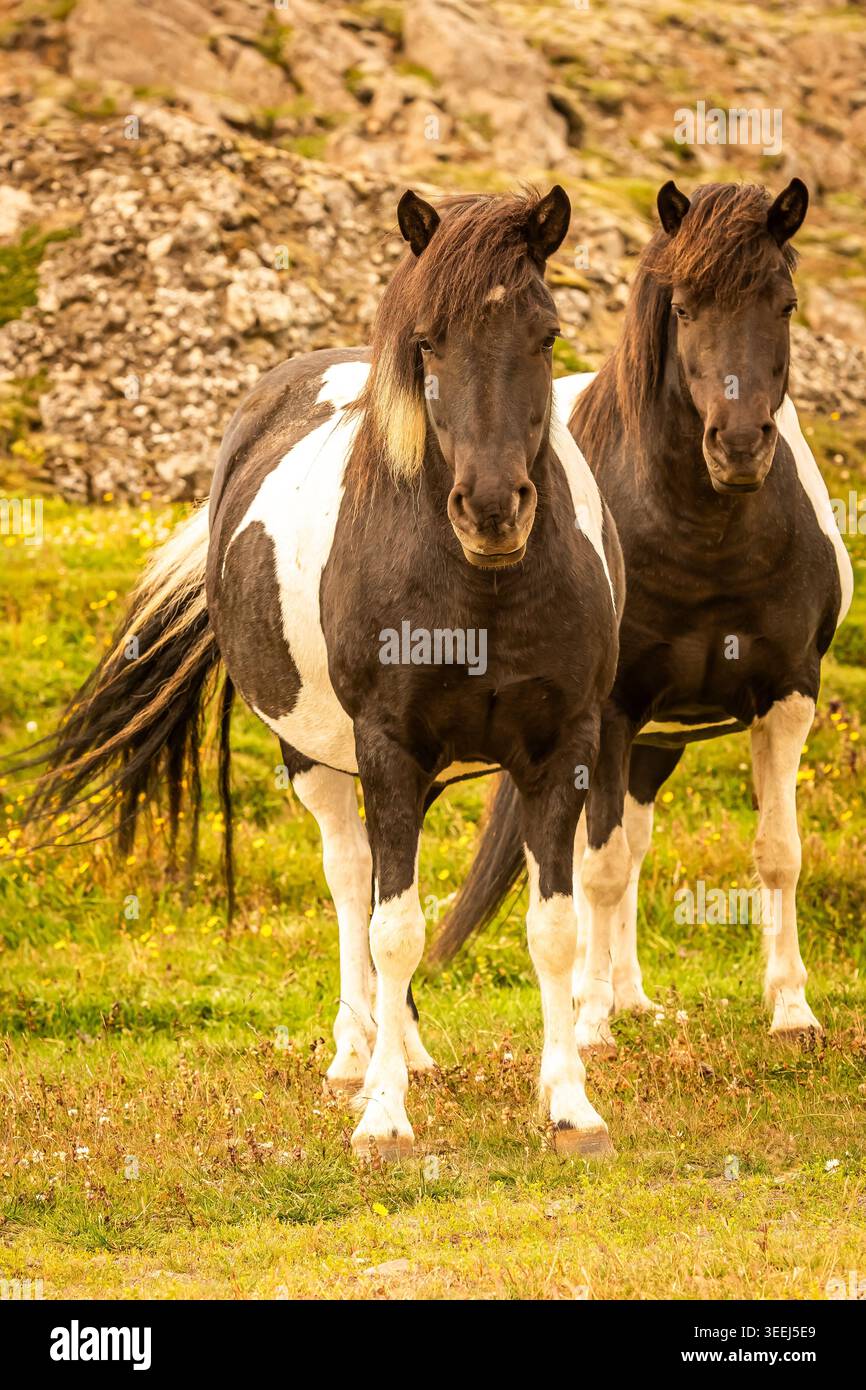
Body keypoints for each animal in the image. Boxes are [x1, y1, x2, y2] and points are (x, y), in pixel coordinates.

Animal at [17, 186, 624, 1160]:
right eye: (428, 342)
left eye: (548, 334)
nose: (493, 509)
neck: (480, 585)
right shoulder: (386, 748)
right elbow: (392, 930)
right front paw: (383, 1118)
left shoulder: (561, 746)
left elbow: (552, 928)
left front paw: (569, 1104)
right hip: (322, 759)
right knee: (352, 883)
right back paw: (358, 1055)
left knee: (381, 889)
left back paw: (403, 1049)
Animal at [434, 179, 852, 1057]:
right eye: (685, 309)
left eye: (786, 304)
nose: (739, 445)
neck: (705, 534)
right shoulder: (614, 711)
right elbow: (597, 868)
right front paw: (589, 1027)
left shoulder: (788, 695)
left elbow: (778, 853)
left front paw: (793, 1010)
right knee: (595, 853)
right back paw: (594, 1001)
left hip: (658, 744)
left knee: (632, 838)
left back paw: (631, 998)